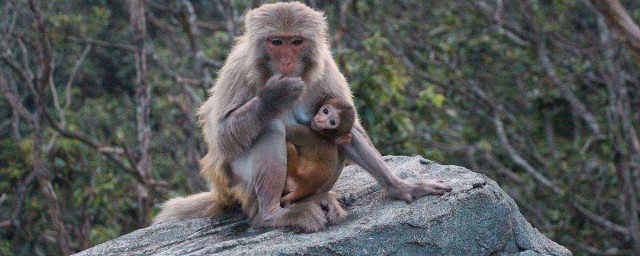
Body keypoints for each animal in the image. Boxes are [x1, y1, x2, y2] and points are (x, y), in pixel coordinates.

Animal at [154, 2, 450, 232]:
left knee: (336, 143)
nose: (286, 62)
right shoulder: (238, 67)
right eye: (277, 42)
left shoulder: (325, 66)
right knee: (269, 127)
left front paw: (401, 187)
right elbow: (222, 136)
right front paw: (273, 96)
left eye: (296, 42)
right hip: (238, 186)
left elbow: (351, 131)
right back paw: (272, 214)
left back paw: (316, 198)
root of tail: (221, 192)